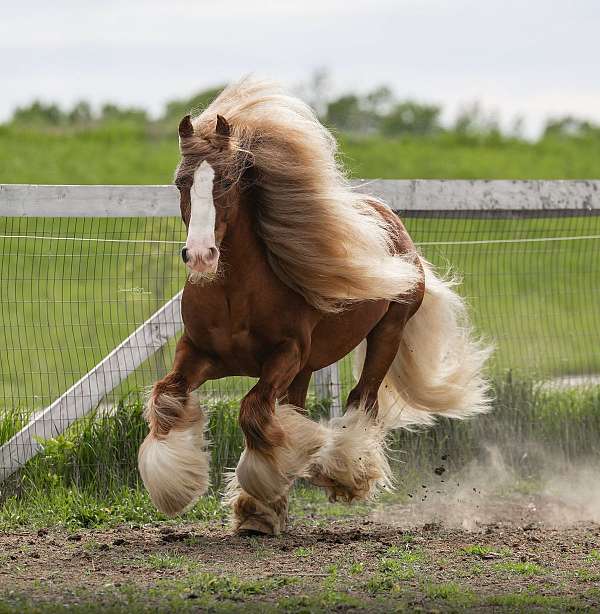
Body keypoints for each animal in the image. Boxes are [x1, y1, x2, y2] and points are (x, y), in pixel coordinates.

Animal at [138, 79, 490, 536]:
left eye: (228, 182)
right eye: (181, 182)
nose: (200, 256)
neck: (236, 295)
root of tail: (389, 219)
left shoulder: (285, 355)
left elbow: (253, 411)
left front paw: (266, 489)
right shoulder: (199, 353)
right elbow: (168, 397)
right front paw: (185, 490)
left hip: (386, 334)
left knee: (363, 400)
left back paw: (345, 470)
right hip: (305, 368)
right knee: (295, 408)